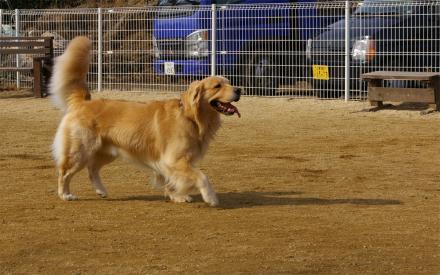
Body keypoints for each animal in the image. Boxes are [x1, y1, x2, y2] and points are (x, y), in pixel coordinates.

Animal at [50, 36, 241, 207]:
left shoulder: (171, 163)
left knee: (92, 169)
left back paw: (101, 190)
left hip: (107, 151)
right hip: (80, 151)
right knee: (64, 172)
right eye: (217, 86)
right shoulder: (173, 160)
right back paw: (65, 194)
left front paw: (178, 197)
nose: (239, 89)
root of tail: (83, 102)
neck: (190, 117)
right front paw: (210, 197)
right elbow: (202, 177)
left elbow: (172, 181)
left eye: (229, 82)